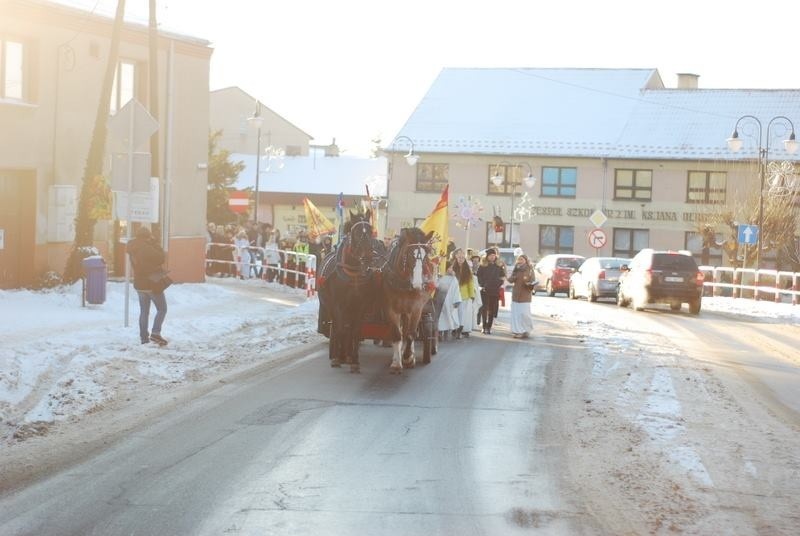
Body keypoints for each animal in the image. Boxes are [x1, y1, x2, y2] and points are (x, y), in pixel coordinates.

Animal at [378, 226, 434, 372]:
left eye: (426, 255)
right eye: (410, 255)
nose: (418, 284)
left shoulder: (416, 308)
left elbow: (410, 334)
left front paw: (408, 357)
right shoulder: (390, 308)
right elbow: (397, 334)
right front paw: (397, 363)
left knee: (409, 331)